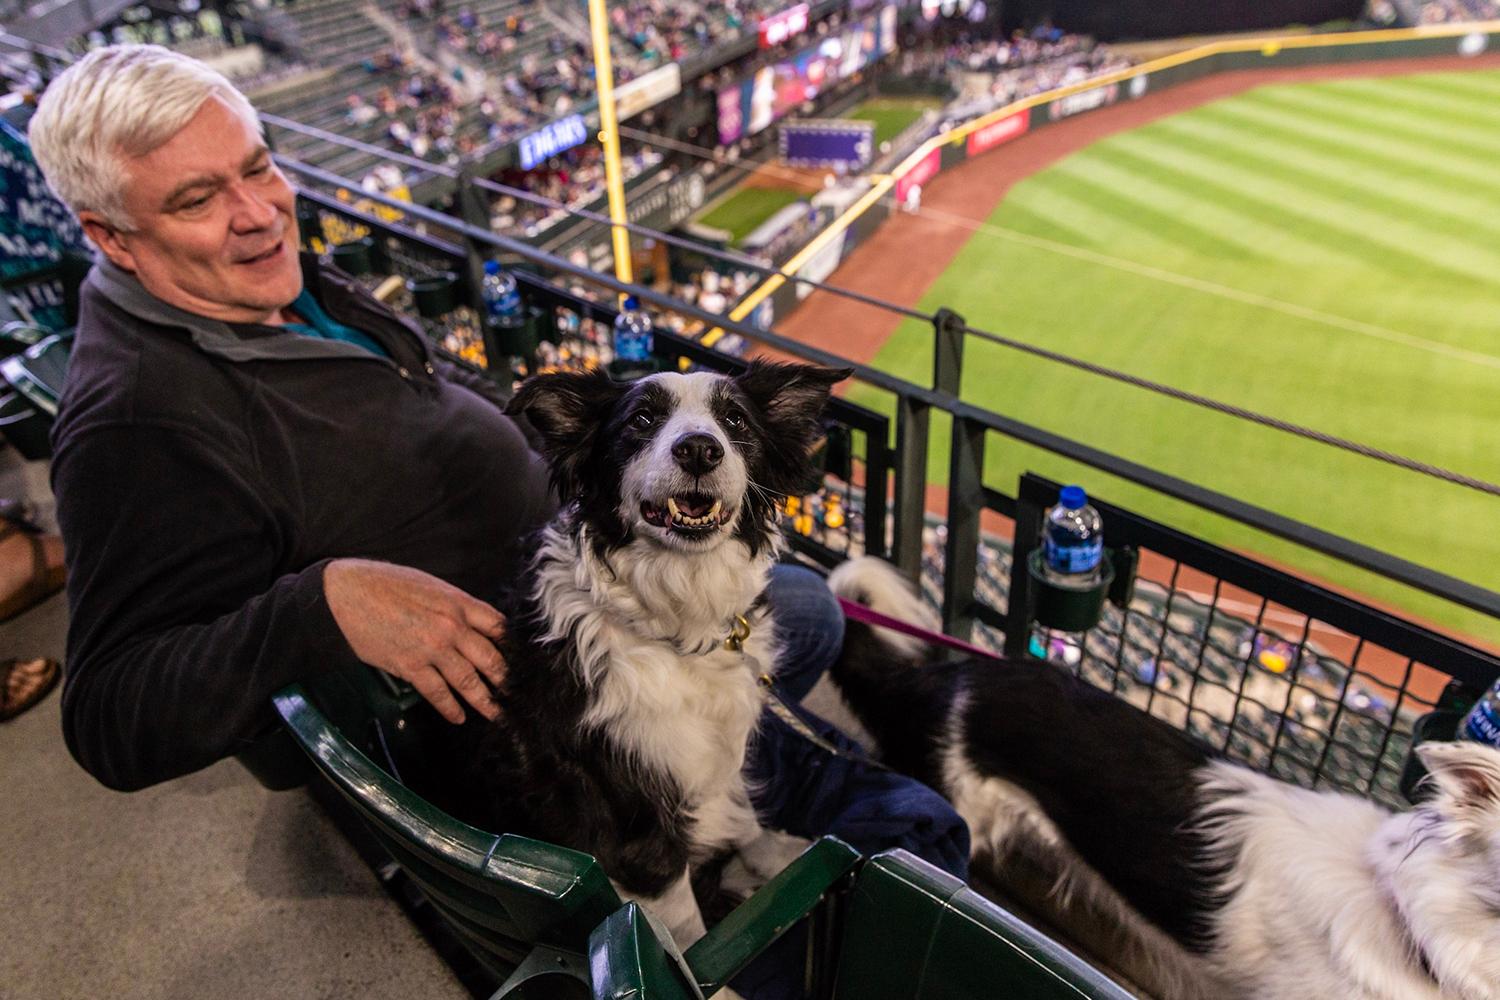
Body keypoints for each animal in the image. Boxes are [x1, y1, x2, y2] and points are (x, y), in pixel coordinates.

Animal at [456, 358, 852, 947]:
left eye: (735, 420)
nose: (699, 449)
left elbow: (740, 810)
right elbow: (684, 927)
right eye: (641, 419)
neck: (672, 625)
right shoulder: (635, 824)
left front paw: (772, 853)